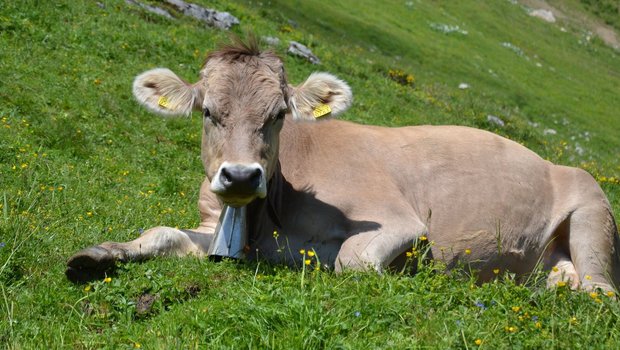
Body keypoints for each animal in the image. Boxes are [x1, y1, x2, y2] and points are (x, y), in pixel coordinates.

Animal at [65, 37, 616, 292]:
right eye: (208, 111)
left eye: (278, 114)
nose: (241, 175)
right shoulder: (217, 228)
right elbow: (160, 233)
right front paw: (95, 255)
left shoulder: (398, 221)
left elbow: (352, 261)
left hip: (592, 209)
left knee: (600, 290)